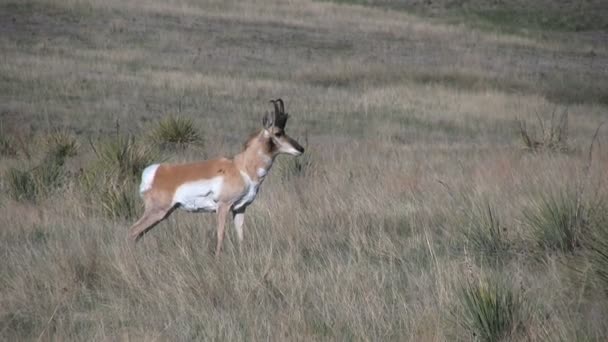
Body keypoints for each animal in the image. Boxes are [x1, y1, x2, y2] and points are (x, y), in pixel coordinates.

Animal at [128, 97, 304, 255]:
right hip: (157, 211)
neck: (241, 167)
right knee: (133, 231)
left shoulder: (240, 208)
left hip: (164, 213)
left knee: (138, 233)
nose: (301, 149)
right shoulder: (223, 206)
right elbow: (221, 235)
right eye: (278, 133)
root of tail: (155, 171)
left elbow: (241, 236)